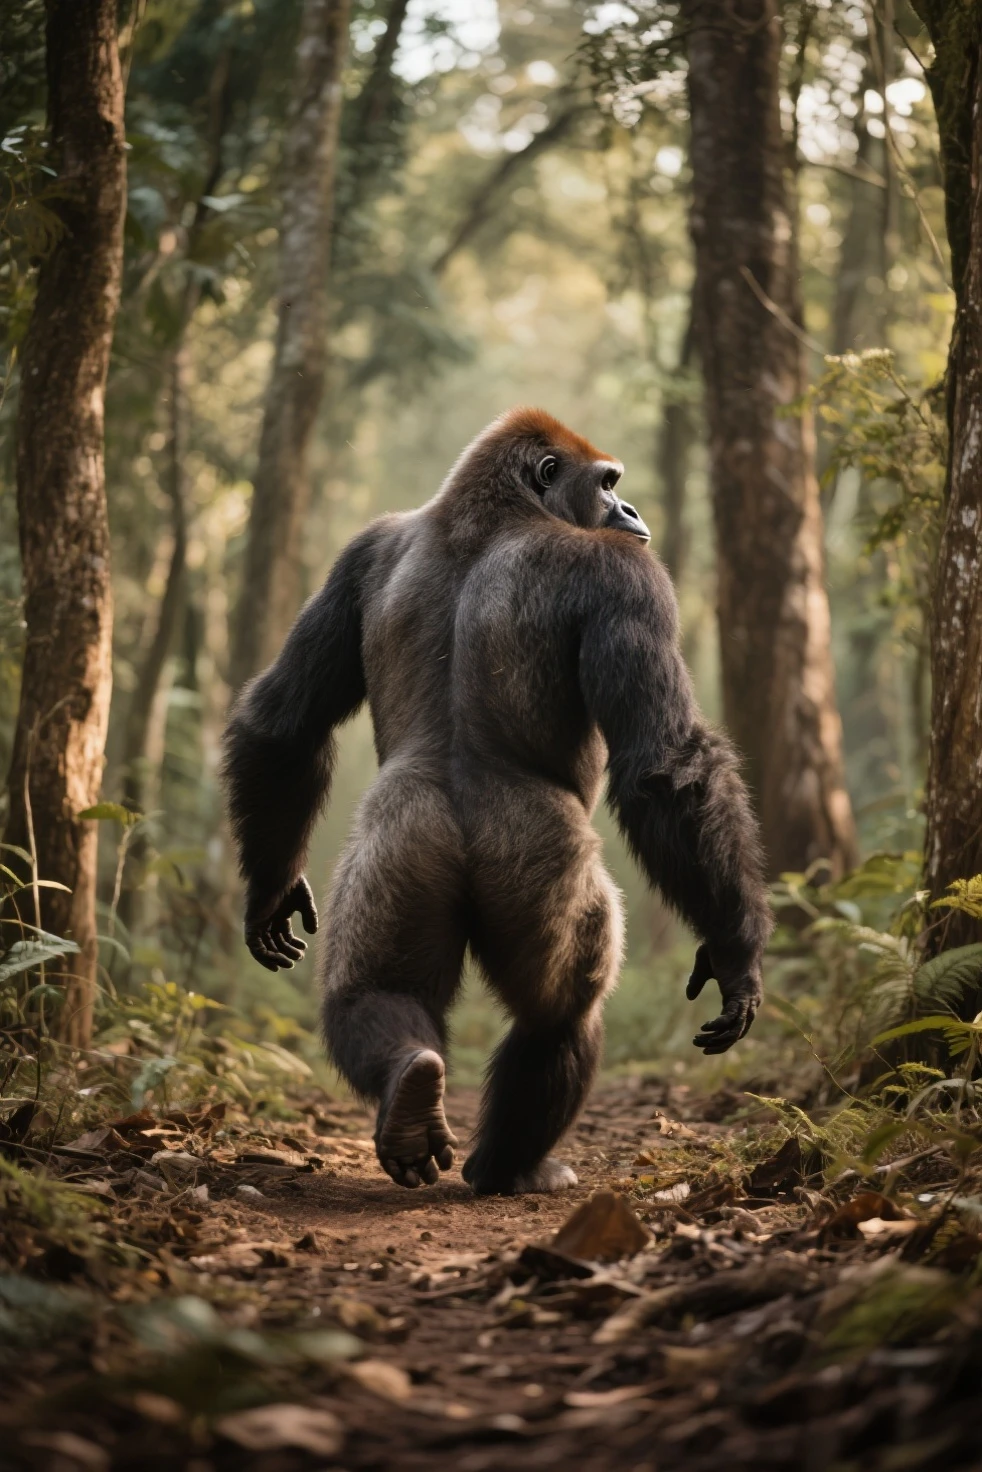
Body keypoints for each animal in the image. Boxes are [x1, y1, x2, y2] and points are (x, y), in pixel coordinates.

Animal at [223, 408, 772, 1195]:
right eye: (608, 483)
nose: (632, 512)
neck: (488, 510)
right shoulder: (627, 576)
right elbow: (665, 769)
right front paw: (737, 955)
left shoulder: (360, 551)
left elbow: (284, 722)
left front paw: (269, 893)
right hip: (544, 866)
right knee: (562, 1016)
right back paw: (509, 1166)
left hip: (399, 846)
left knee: (375, 990)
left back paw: (409, 1096)